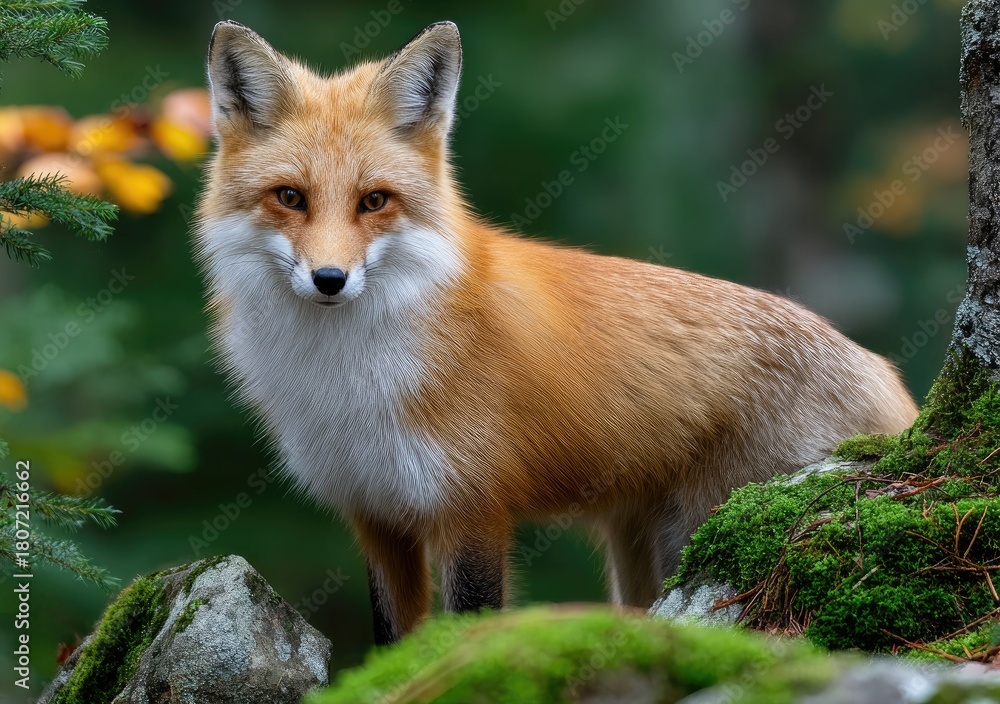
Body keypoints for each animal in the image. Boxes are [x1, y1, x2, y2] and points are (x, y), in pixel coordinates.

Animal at [195, 20, 919, 645]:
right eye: (290, 197)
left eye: (373, 201)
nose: (330, 279)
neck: (348, 374)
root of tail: (881, 370)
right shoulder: (375, 514)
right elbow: (392, 641)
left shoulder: (471, 508)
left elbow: (468, 628)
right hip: (640, 556)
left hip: (700, 537)